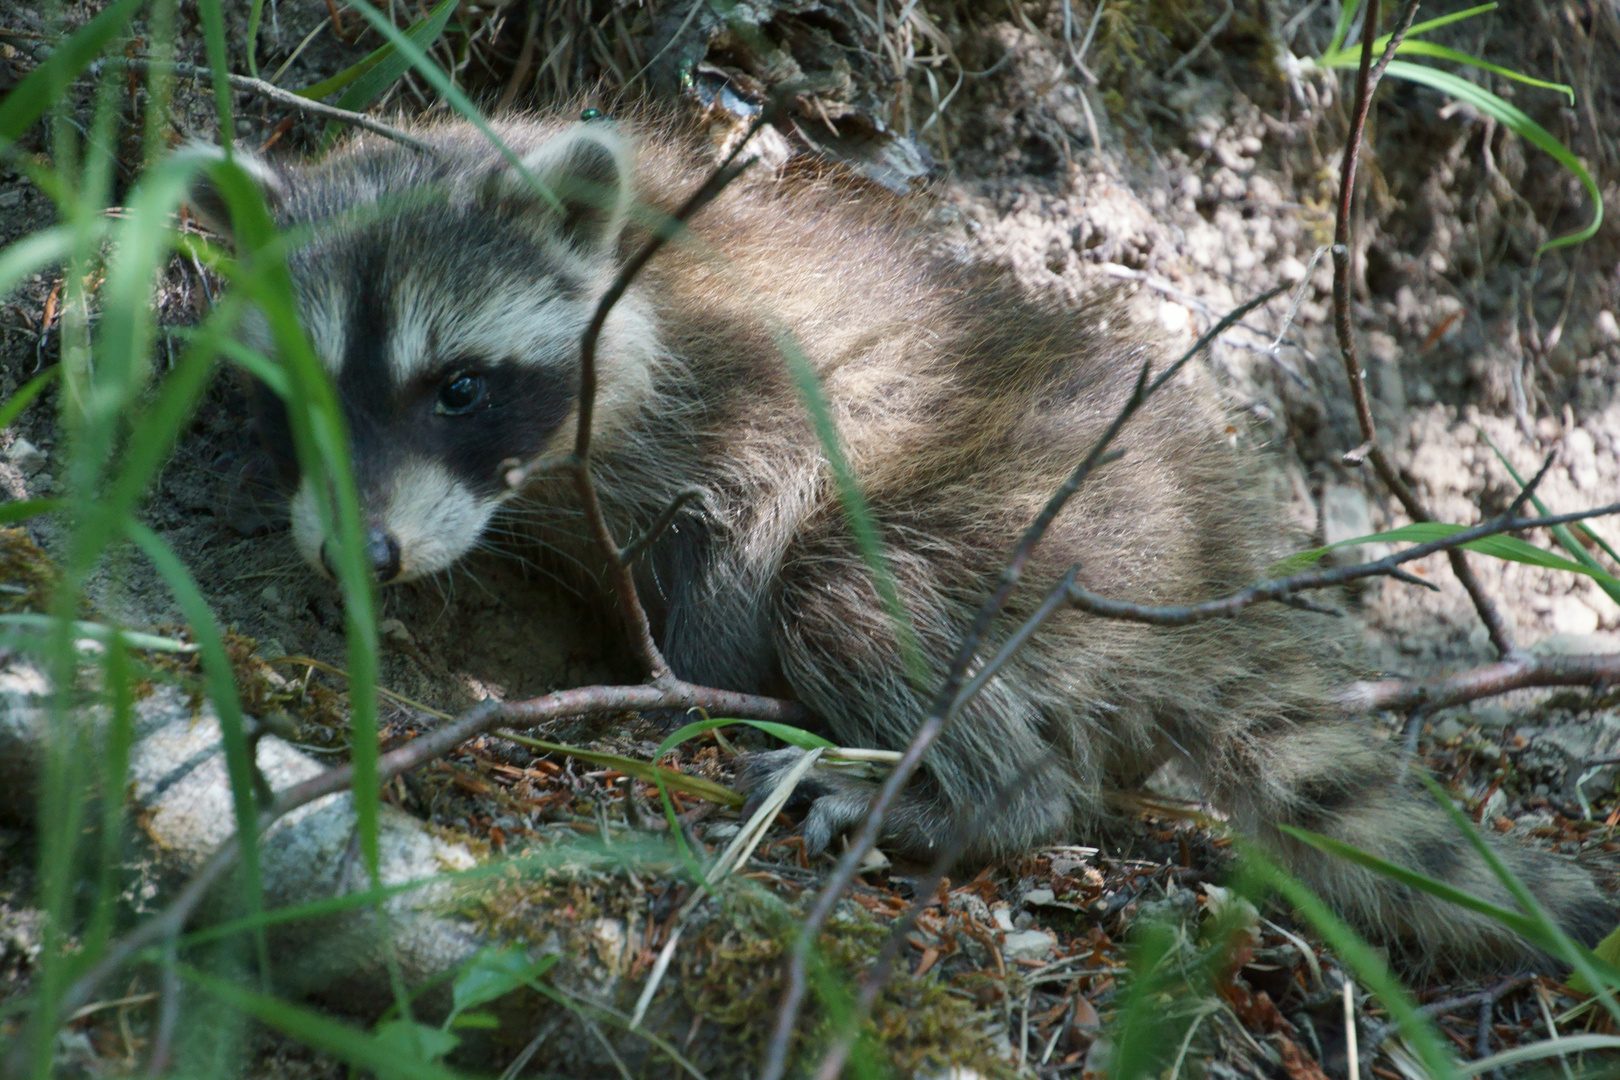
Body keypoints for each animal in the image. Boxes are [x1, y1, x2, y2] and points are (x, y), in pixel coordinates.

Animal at [208, 114, 1613, 965]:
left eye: (457, 387)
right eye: (285, 392)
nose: (361, 559)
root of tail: (1206, 558)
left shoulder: (751, 385)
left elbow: (751, 529)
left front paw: (692, 680)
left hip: (1037, 522)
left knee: (852, 595)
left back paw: (972, 790)